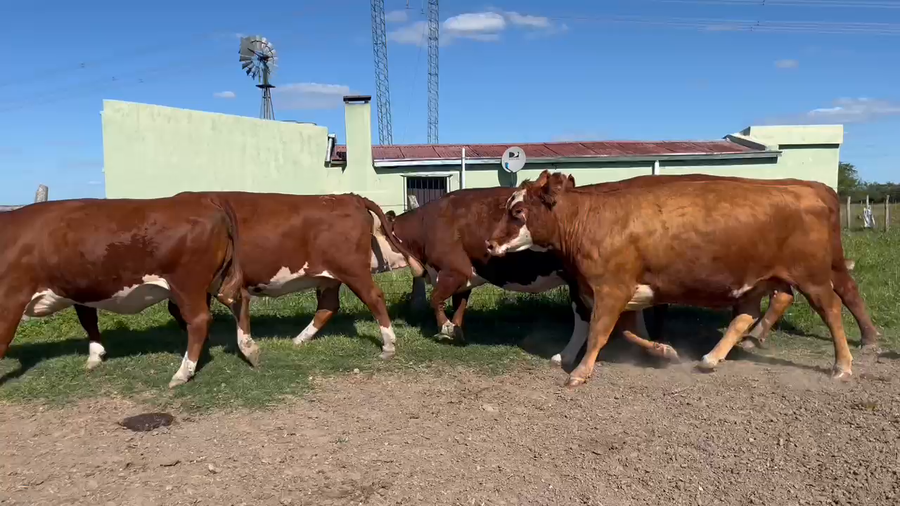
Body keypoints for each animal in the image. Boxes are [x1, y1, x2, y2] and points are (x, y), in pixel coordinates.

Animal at [1, 192, 255, 388]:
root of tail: (204, 198)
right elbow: (88, 320)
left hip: (187, 284)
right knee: (239, 300)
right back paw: (250, 349)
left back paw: (182, 373)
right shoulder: (81, 288)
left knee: (200, 320)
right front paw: (96, 355)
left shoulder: (10, 298)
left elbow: (2, 340)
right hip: (217, 278)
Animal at [162, 192, 425, 361]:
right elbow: (177, 309)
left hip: (352, 270)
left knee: (374, 297)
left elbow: (182, 310)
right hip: (329, 277)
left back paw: (388, 345)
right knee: (328, 306)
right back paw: (299, 339)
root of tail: (348, 196)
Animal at [486, 170, 858, 387]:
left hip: (812, 277)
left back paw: (842, 365)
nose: (489, 243)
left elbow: (598, 333)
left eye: (517, 211)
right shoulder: (623, 293)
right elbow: (627, 333)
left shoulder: (611, 289)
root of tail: (807, 190)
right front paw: (664, 351)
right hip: (754, 283)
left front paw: (579, 372)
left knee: (832, 310)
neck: (591, 219)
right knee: (745, 317)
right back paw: (710, 358)